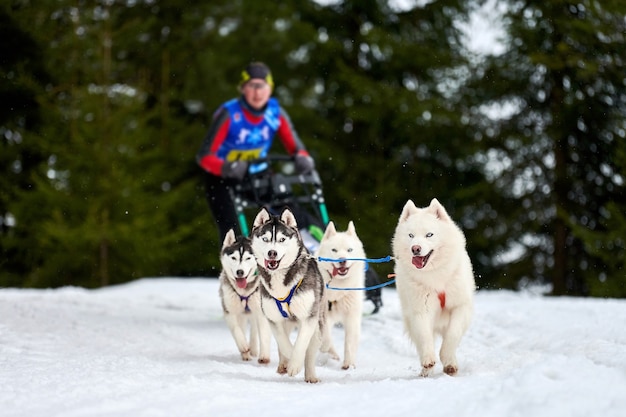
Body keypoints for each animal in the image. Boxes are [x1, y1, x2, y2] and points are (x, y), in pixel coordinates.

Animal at [218, 229, 270, 362]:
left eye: (248, 258)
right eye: (234, 258)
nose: (240, 272)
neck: (244, 291)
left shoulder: (261, 312)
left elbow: (263, 333)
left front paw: (264, 356)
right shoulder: (230, 311)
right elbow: (236, 329)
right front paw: (243, 346)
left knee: (254, 329)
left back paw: (253, 349)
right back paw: (246, 353)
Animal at [250, 208, 326, 384]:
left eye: (282, 239)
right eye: (265, 239)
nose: (272, 252)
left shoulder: (308, 317)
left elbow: (301, 343)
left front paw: (295, 364)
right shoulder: (273, 318)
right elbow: (283, 342)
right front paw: (290, 362)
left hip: (318, 325)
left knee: (310, 350)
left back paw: (310, 375)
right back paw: (283, 364)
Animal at [314, 219, 364, 368]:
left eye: (349, 250)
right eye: (334, 250)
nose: (342, 260)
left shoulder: (352, 317)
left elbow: (349, 343)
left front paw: (349, 365)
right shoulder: (323, 316)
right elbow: (326, 338)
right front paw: (328, 352)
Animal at [390, 198, 472, 376]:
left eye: (429, 234)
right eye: (411, 235)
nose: (415, 248)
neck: (434, 276)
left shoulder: (460, 306)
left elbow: (453, 334)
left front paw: (447, 359)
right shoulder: (421, 309)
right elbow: (424, 336)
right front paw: (428, 360)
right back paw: (426, 372)